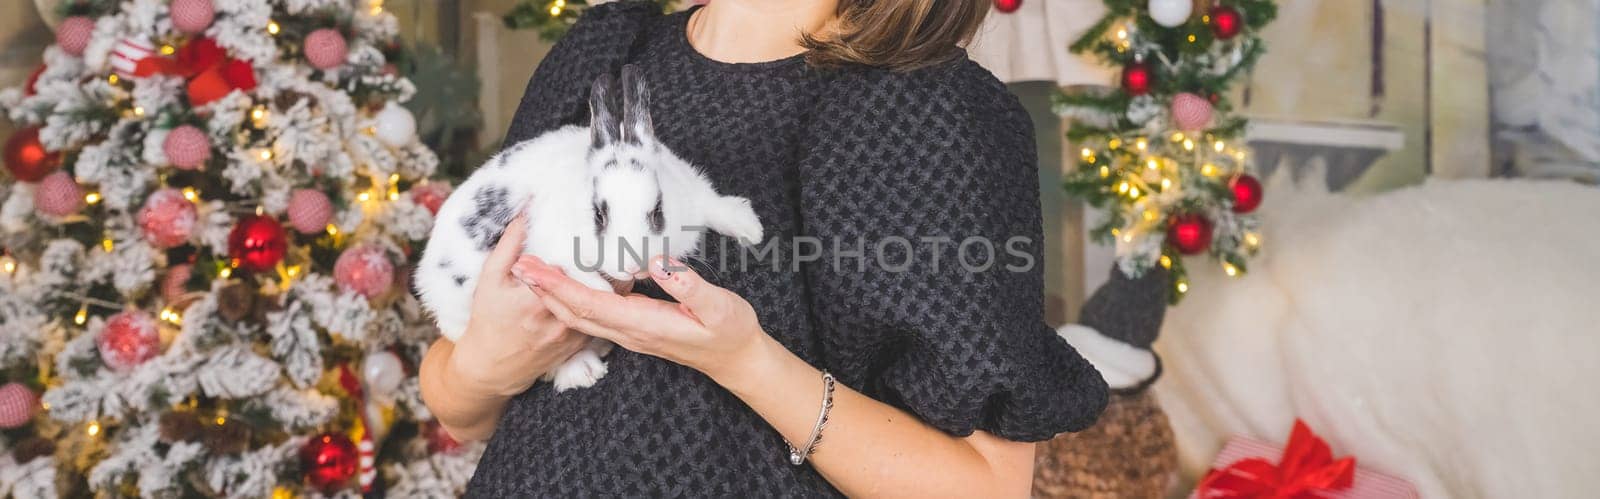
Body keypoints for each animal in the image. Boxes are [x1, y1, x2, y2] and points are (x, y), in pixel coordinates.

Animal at [412, 63, 761, 390]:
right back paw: (583, 371)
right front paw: (601, 291)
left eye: (658, 212)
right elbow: (573, 269)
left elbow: (712, 203)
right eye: (598, 215)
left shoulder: (690, 188)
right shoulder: (548, 245)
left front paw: (750, 227)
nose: (633, 266)